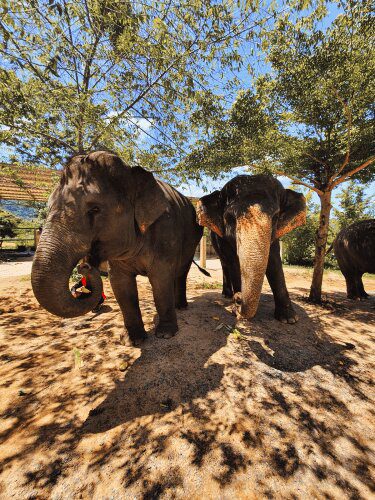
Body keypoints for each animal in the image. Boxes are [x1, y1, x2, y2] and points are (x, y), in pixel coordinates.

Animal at [30, 150, 204, 346]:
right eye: (49, 206)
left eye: (95, 209)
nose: (85, 266)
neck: (131, 172)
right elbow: (120, 284)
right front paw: (132, 341)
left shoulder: (165, 231)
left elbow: (160, 279)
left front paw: (165, 335)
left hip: (193, 238)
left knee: (181, 271)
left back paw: (180, 307)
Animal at [195, 175, 306, 324]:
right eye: (230, 218)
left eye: (276, 217)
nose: (238, 298)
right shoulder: (222, 238)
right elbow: (234, 262)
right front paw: (236, 309)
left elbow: (274, 262)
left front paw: (289, 319)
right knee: (225, 263)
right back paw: (227, 294)